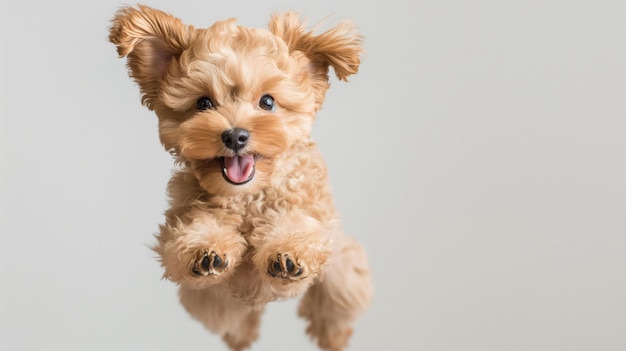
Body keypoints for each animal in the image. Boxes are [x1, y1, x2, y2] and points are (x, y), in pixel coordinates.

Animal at [108, 6, 370, 351]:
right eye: (204, 103)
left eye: (268, 102)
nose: (235, 135)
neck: (247, 196)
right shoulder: (182, 240)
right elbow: (189, 236)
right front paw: (206, 249)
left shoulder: (313, 217)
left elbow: (299, 228)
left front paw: (287, 252)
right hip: (210, 304)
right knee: (233, 320)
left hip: (344, 272)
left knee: (335, 303)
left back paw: (333, 336)